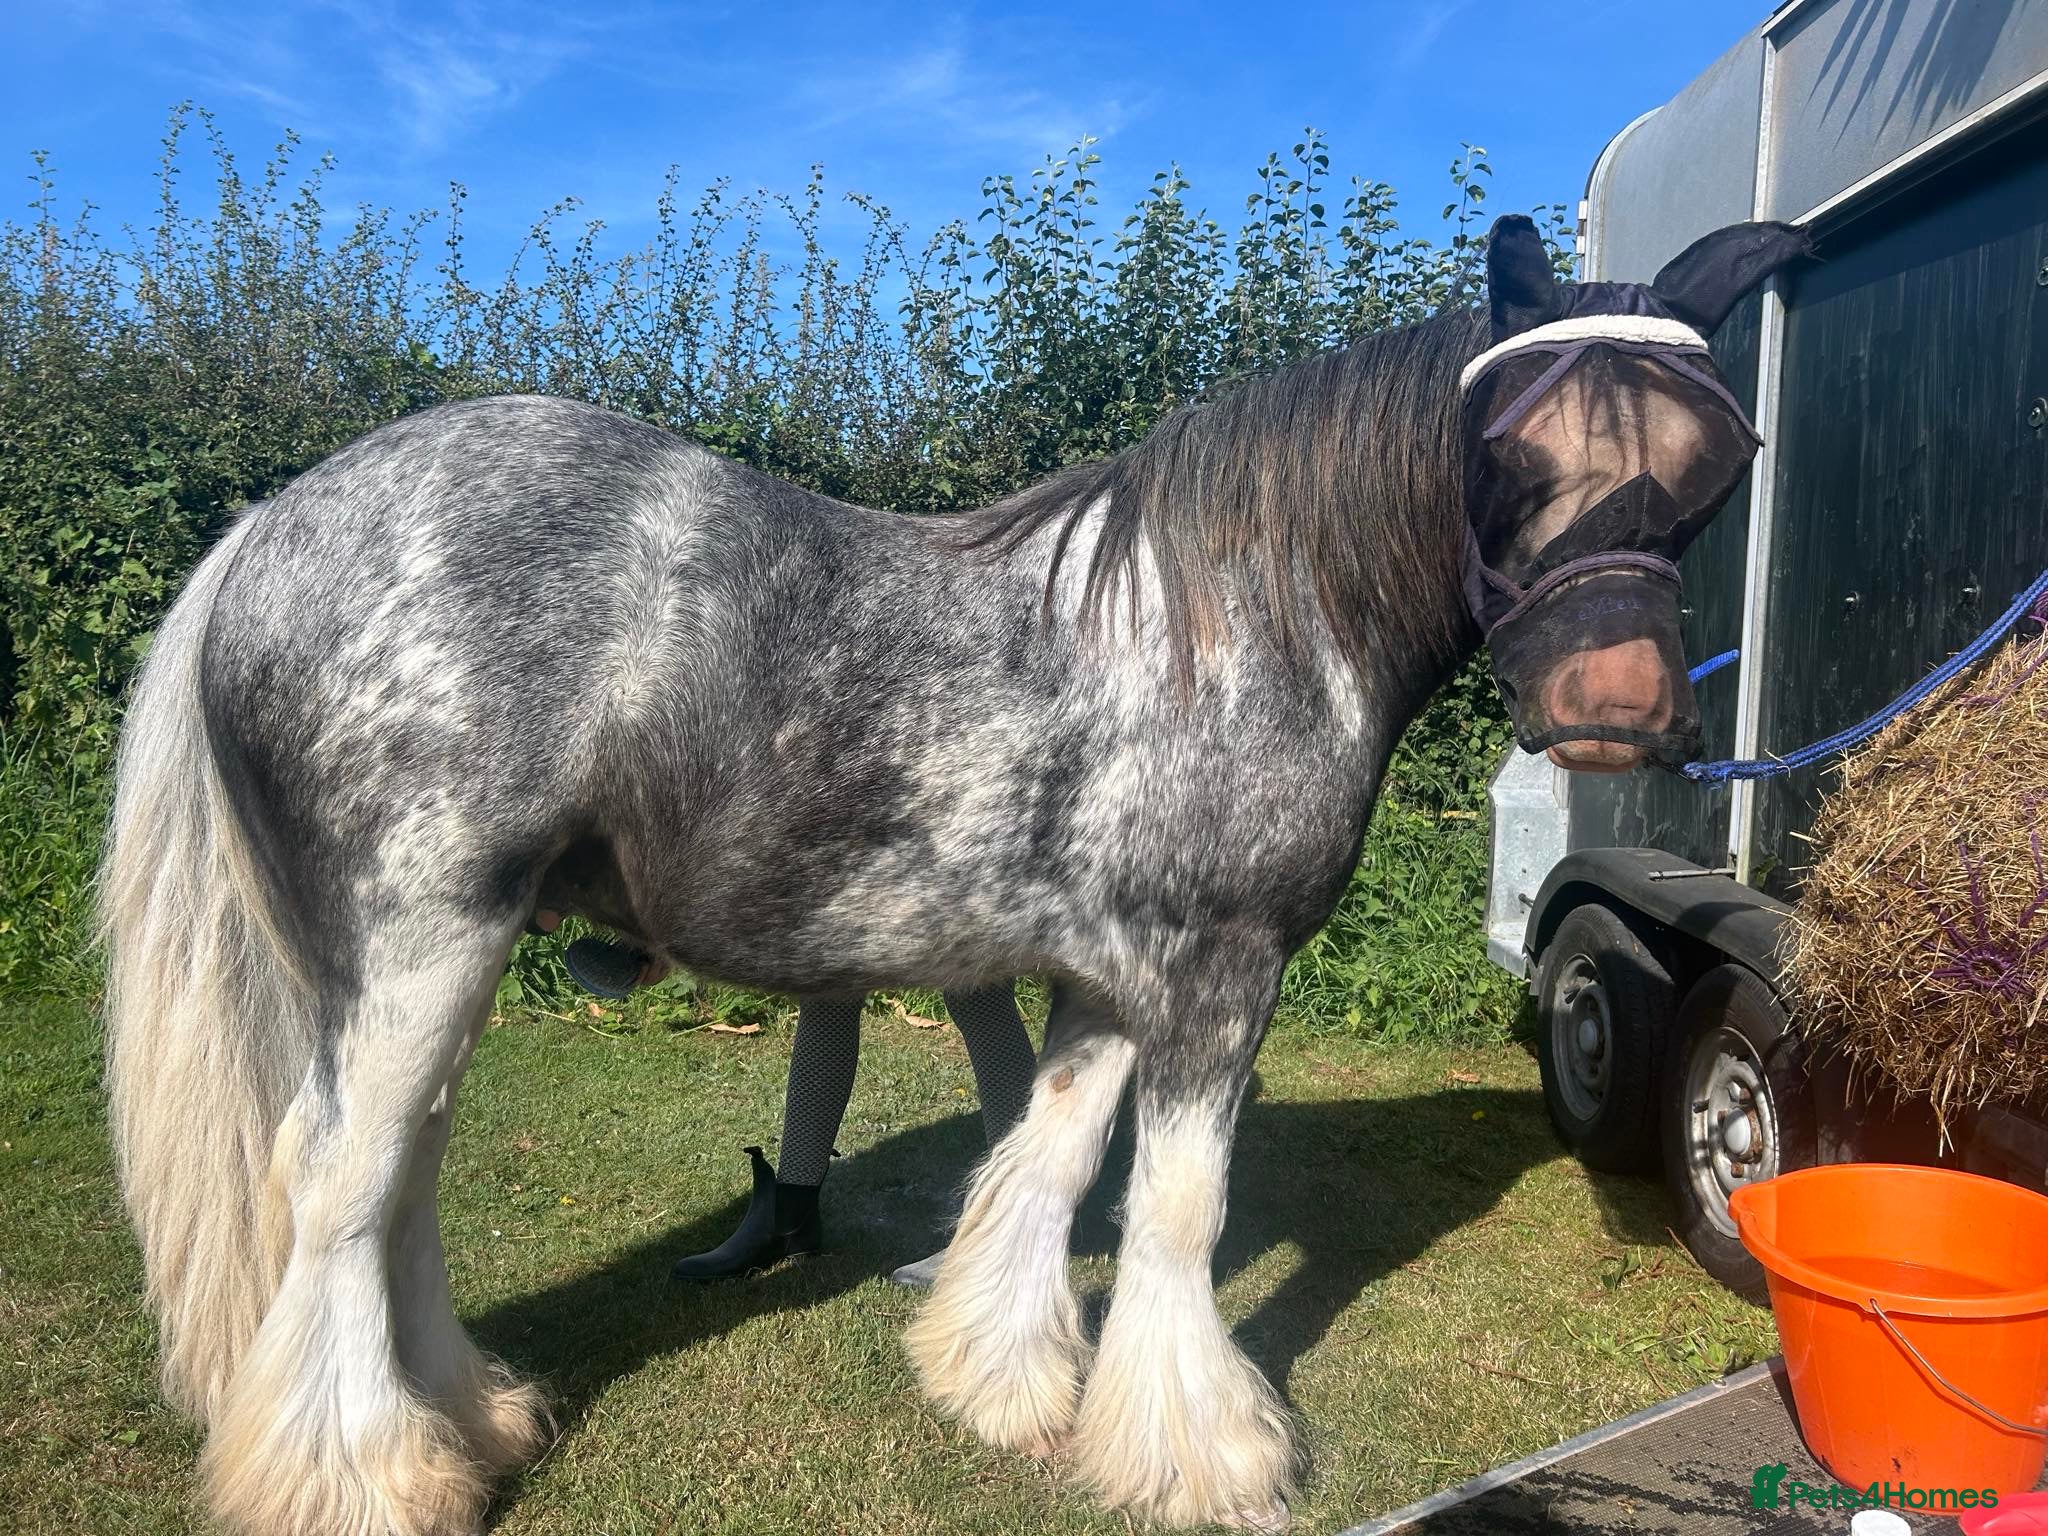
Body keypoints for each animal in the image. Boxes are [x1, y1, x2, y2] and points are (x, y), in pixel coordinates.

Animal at [100, 212, 1809, 1534]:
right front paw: (1203, 1452)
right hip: (421, 942)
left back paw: (469, 1420)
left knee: (399, 1180)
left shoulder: (1113, 978)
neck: (1239, 618)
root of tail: (274, 523)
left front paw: (1001, 1383)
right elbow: (1178, 1207)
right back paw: (363, 1477)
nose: (1616, 716)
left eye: (1716, 457)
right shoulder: (1218, 972)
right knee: (336, 1188)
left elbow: (1047, 1162)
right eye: (1513, 452)